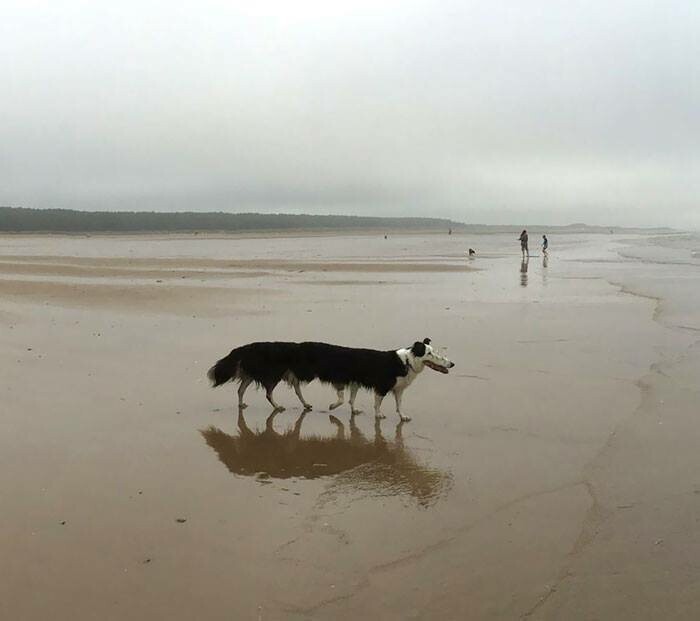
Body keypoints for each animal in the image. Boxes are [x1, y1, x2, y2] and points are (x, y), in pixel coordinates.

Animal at [206, 340, 454, 422]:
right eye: (430, 353)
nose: (451, 364)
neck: (406, 361)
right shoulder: (375, 385)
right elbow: (363, 401)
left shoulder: (394, 388)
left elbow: (397, 404)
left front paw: (402, 417)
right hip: (273, 375)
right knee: (266, 392)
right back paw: (278, 406)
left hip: (275, 374)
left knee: (242, 388)